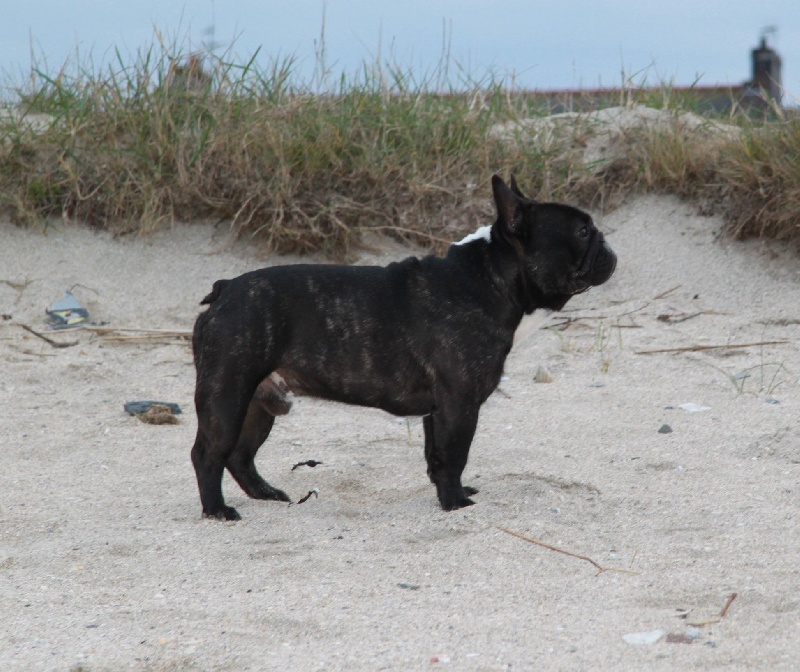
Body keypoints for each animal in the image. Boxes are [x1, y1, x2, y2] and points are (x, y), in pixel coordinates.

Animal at [191, 175, 616, 520]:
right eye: (582, 231)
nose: (608, 245)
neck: (487, 279)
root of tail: (224, 289)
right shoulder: (460, 403)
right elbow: (454, 454)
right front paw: (455, 503)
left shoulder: (438, 409)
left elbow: (435, 456)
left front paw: (449, 493)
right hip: (227, 394)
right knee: (209, 454)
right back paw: (218, 510)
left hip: (259, 403)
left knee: (241, 455)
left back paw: (266, 494)